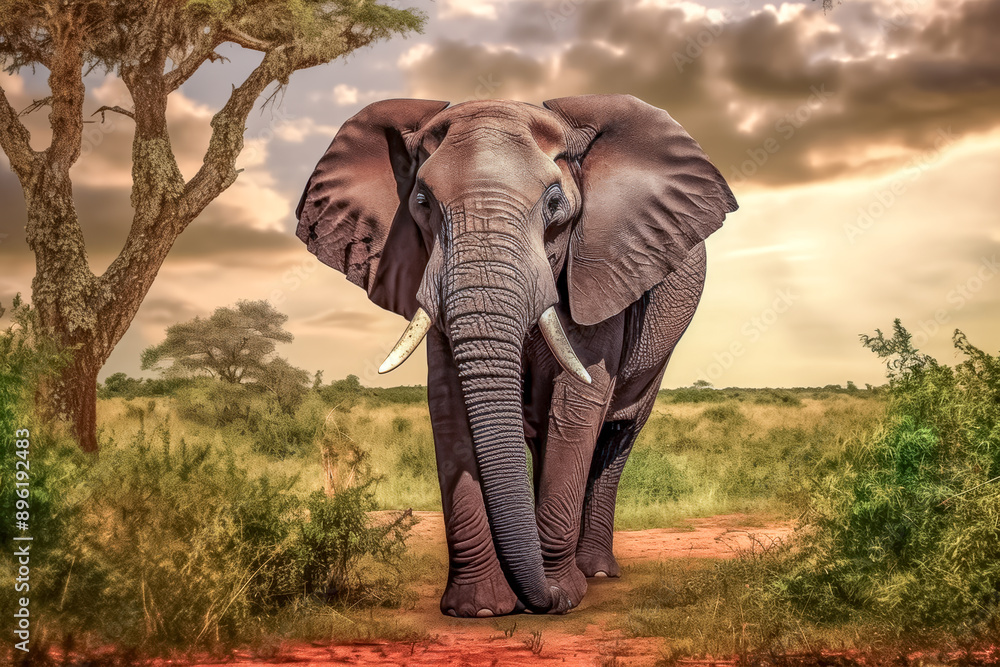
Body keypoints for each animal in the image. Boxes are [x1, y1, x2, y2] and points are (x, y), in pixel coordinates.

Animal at [295, 94, 737, 617]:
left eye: (554, 204)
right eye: (421, 203)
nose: (541, 602)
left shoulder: (600, 269)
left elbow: (577, 405)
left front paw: (563, 595)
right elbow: (448, 403)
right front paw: (481, 608)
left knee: (616, 434)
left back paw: (595, 572)